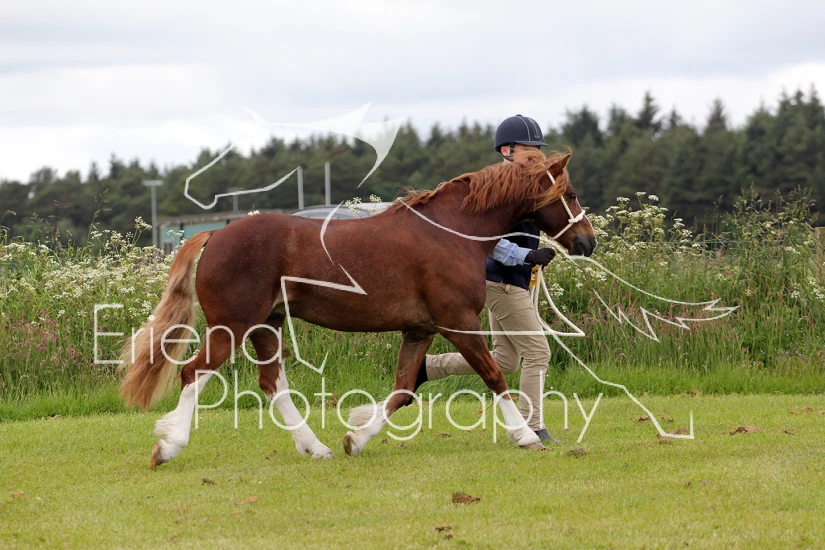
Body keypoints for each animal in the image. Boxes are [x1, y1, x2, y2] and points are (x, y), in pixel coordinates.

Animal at [119, 148, 597, 468]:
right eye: (571, 193)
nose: (588, 242)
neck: (452, 232)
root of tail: (217, 234)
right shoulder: (457, 322)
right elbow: (495, 376)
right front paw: (526, 437)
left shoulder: (420, 330)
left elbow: (404, 390)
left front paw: (357, 438)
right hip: (232, 326)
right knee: (194, 373)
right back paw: (168, 447)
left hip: (267, 325)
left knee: (273, 384)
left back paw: (317, 448)